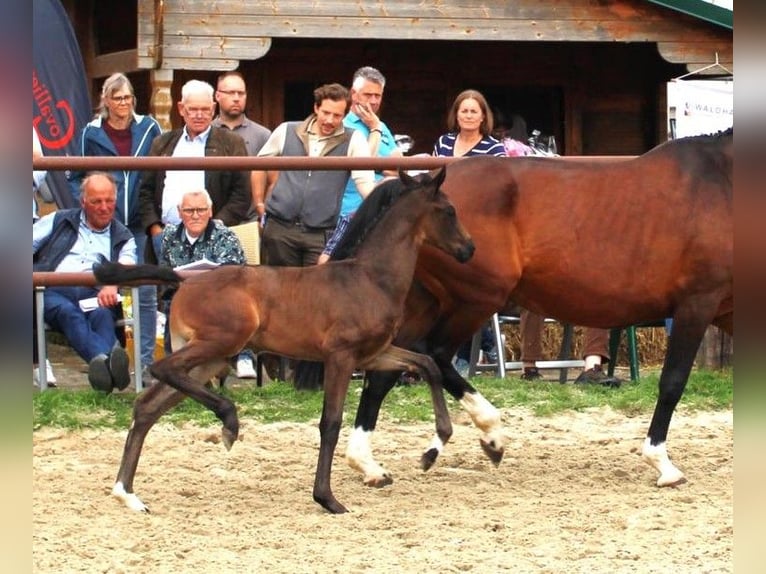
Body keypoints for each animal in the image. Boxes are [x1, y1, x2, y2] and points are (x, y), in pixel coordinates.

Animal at [90, 169, 474, 516]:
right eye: (449, 210)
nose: (469, 249)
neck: (369, 279)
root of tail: (183, 280)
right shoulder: (340, 357)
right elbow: (330, 422)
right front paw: (327, 499)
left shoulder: (373, 354)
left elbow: (427, 366)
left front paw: (431, 452)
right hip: (219, 343)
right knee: (161, 369)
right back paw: (228, 421)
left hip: (210, 360)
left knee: (148, 406)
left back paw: (128, 494)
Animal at [344, 129, 736, 490]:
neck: (723, 184)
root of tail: (421, 186)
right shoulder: (696, 304)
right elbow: (673, 382)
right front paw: (662, 464)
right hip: (476, 297)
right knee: (433, 354)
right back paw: (488, 434)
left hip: (425, 301)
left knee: (389, 368)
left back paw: (369, 464)